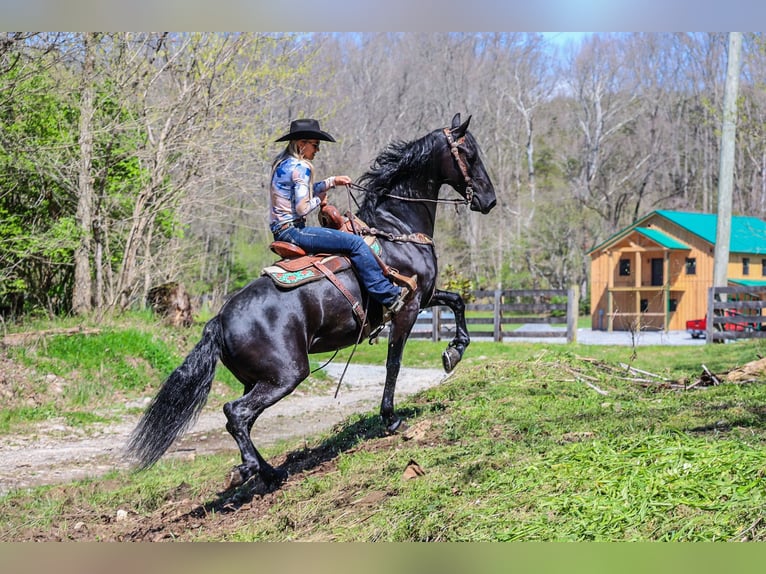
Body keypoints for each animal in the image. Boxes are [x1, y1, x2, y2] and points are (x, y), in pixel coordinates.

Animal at [127, 113, 498, 490]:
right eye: (469, 154)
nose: (489, 200)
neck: (396, 230)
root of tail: (218, 321)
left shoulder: (425, 296)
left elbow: (457, 301)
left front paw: (454, 352)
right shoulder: (406, 308)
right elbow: (394, 364)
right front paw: (391, 418)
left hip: (260, 380)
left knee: (244, 418)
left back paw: (271, 472)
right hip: (287, 375)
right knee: (236, 413)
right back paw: (252, 469)